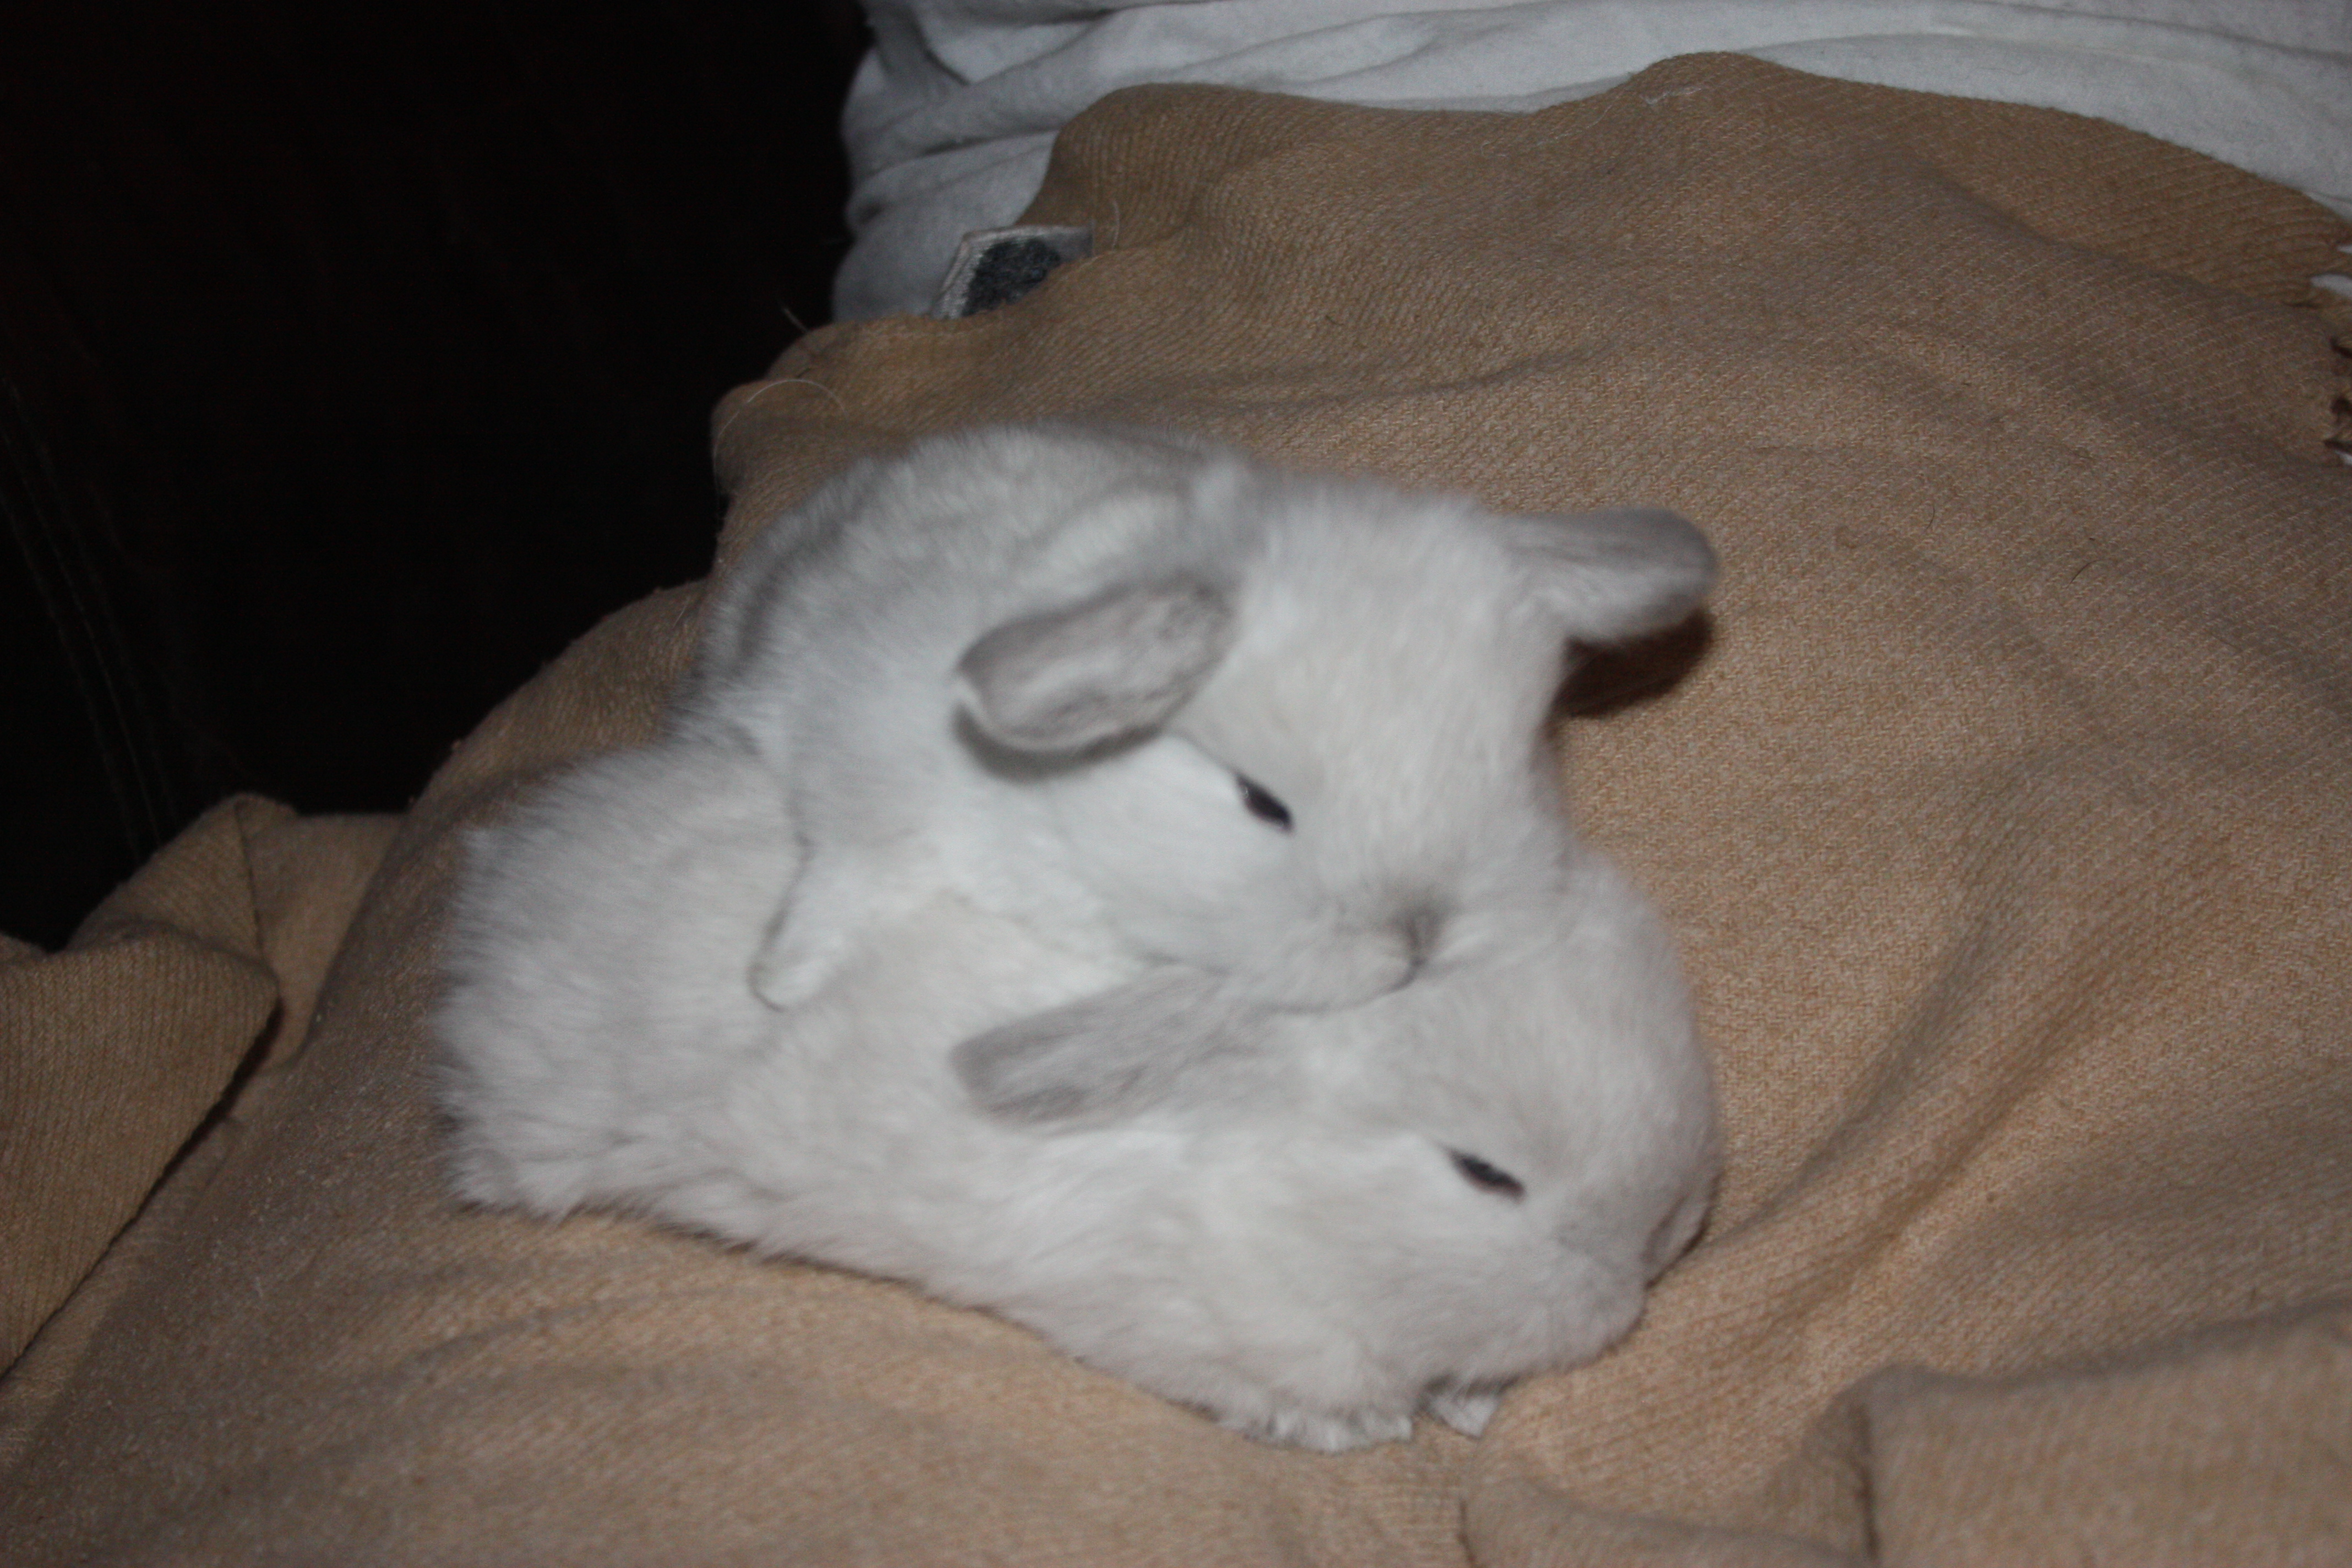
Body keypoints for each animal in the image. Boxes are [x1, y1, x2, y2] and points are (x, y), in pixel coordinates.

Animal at [668, 423, 1712, 1048]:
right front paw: (781, 982)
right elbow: (851, 878)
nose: (1417, 940)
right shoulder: (868, 789)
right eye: (1259, 801)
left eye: (1516, 759)